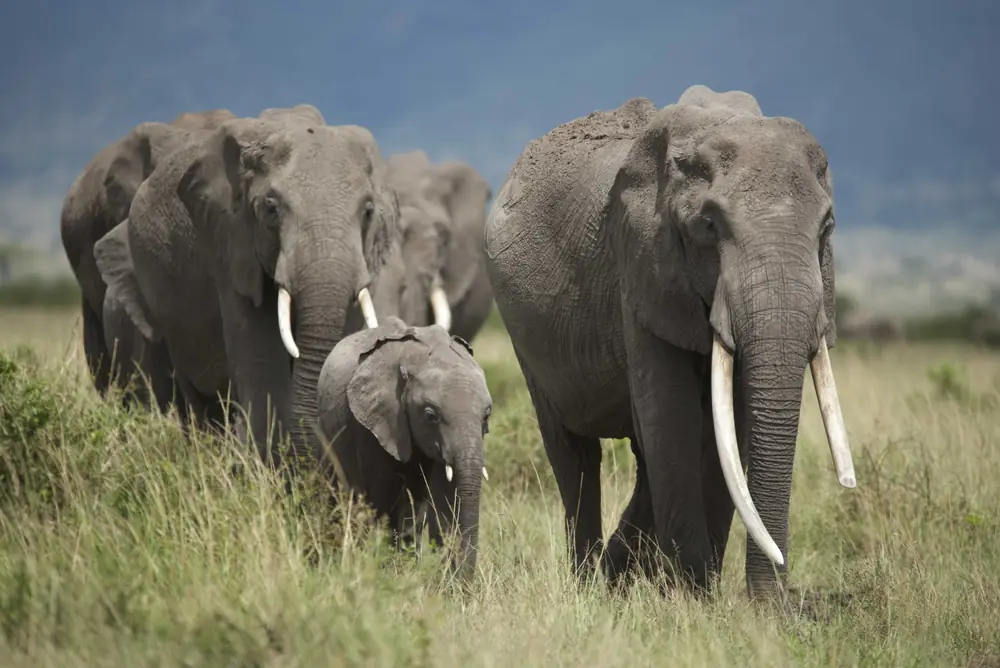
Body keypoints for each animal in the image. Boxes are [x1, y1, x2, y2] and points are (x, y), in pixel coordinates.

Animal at [316, 316, 492, 579]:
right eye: (431, 416)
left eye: (486, 417)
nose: (467, 586)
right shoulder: (372, 424)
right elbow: (381, 498)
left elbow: (446, 502)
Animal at [484, 85, 856, 604]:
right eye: (710, 227)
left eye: (827, 228)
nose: (775, 600)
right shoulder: (641, 265)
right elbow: (672, 415)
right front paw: (693, 596)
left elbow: (728, 425)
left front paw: (691, 589)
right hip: (526, 336)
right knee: (575, 456)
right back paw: (591, 582)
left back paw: (618, 570)